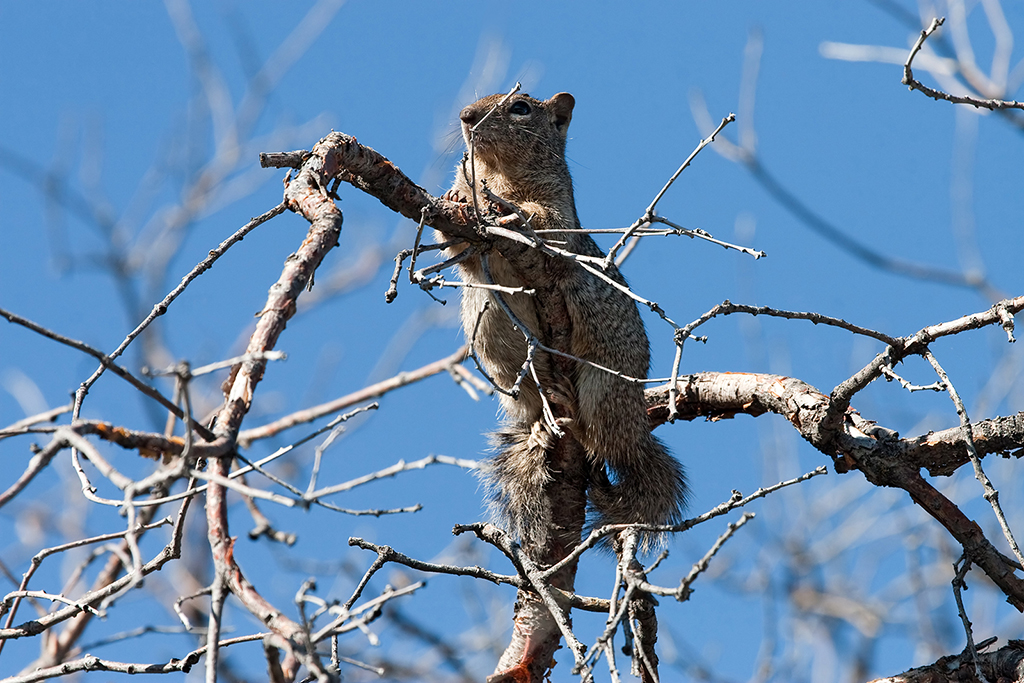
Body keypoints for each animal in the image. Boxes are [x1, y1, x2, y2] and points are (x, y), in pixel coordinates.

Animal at [440, 90, 688, 548]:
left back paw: (574, 408)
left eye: (520, 107)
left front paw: (513, 211)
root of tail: (637, 433)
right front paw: (456, 200)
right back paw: (541, 427)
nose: (466, 116)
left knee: (599, 440)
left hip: (604, 386)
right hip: (511, 377)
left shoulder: (559, 211)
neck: (497, 172)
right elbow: (455, 246)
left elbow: (547, 224)